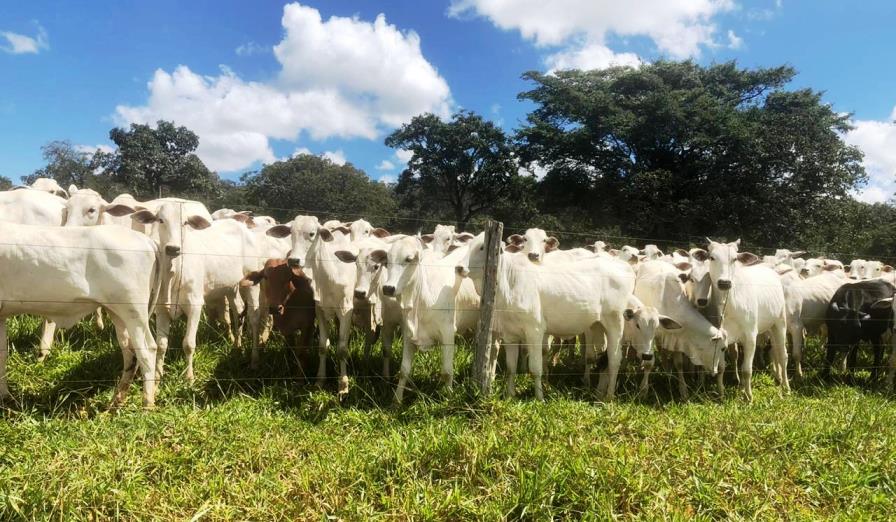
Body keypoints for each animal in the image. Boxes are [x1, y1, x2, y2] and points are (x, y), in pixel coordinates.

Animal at [0, 221, 160, 404]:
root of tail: (147, 240)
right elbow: (2, 355)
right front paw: (4, 396)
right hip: (118, 313)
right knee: (129, 353)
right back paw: (116, 402)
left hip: (134, 313)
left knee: (147, 352)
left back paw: (147, 404)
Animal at [696, 238, 788, 400]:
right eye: (712, 257)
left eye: (734, 259)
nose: (724, 283)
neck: (728, 305)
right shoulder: (721, 337)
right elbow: (721, 367)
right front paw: (721, 393)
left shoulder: (751, 336)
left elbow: (746, 370)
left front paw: (748, 397)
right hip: (769, 327)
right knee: (776, 352)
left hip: (780, 322)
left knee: (783, 355)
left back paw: (785, 387)